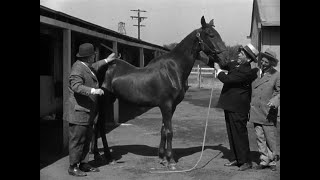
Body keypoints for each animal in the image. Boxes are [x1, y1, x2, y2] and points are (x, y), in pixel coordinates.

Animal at [94, 16, 229, 169]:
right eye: (211, 35)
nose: (226, 59)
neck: (173, 69)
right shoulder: (166, 105)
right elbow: (169, 131)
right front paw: (171, 160)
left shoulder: (172, 106)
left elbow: (163, 130)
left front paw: (162, 158)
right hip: (103, 101)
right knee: (98, 125)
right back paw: (102, 155)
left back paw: (105, 156)